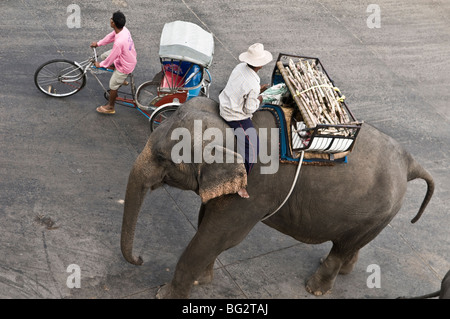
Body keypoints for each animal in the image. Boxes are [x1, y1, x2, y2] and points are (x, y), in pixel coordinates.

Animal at [119, 96, 432, 298]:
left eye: (162, 157)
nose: (141, 259)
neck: (229, 125)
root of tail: (410, 162)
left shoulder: (254, 191)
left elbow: (219, 235)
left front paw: (165, 294)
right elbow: (206, 222)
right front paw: (202, 282)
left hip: (379, 211)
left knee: (345, 246)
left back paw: (315, 288)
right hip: (375, 213)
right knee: (349, 243)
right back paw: (341, 270)